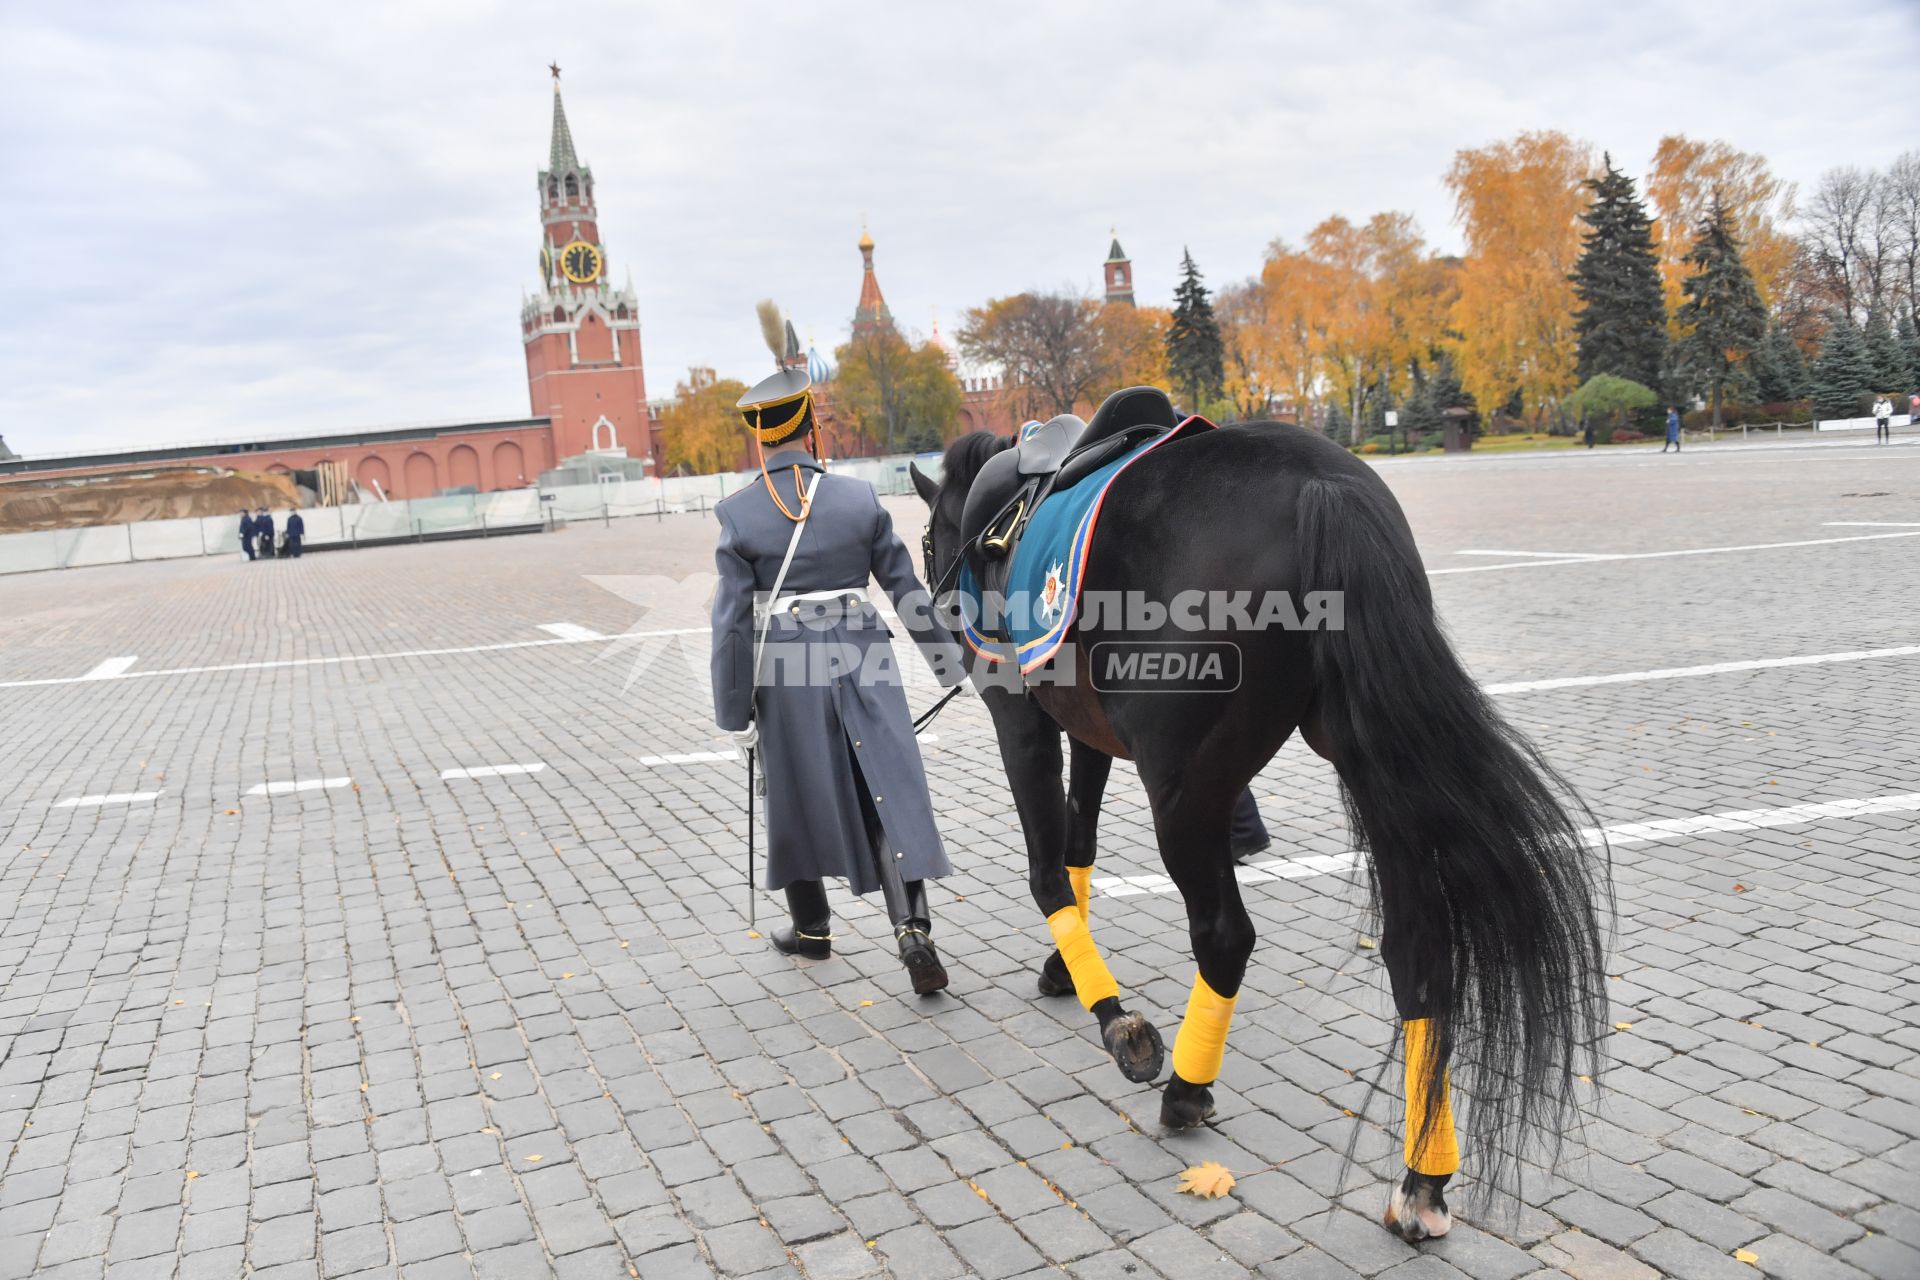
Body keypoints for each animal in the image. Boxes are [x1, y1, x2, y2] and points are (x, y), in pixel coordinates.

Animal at [910, 402, 1605, 1243]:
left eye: (925, 542)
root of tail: (1322, 488)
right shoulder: (1089, 730)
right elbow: (1080, 849)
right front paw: (1065, 972)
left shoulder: (1022, 719)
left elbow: (1049, 872)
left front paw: (1114, 1018)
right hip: (1369, 762)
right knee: (1417, 949)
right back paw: (1424, 1178)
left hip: (1186, 793)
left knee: (1223, 936)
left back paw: (1185, 1086)